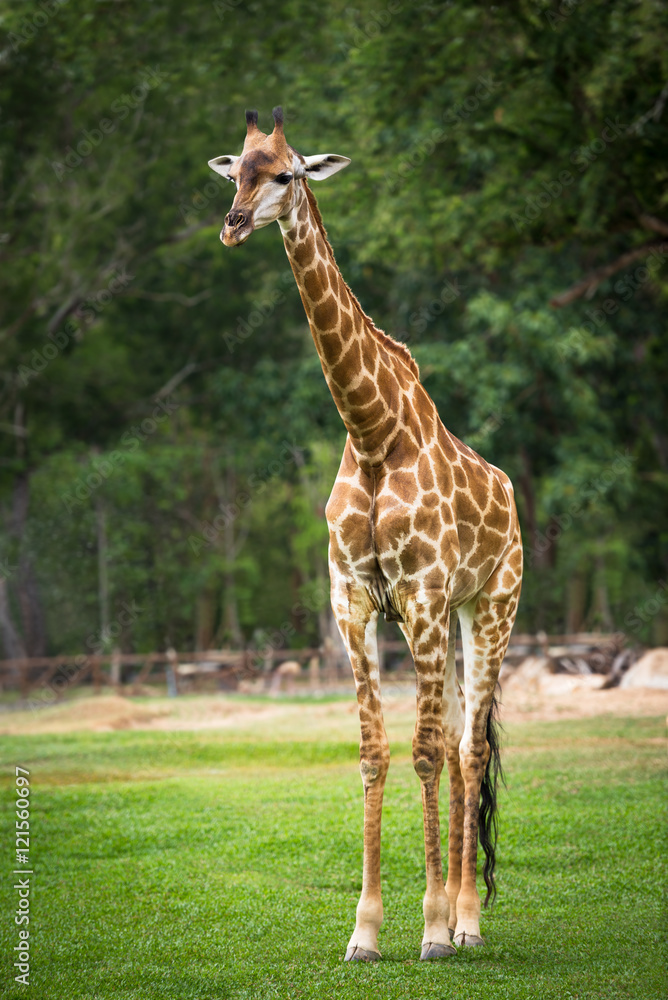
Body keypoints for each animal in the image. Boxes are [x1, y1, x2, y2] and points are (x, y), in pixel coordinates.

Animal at [209, 107, 523, 962]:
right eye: (235, 171)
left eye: (288, 173)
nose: (233, 225)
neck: (373, 432)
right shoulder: (353, 601)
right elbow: (374, 754)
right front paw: (366, 931)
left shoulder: (417, 596)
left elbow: (421, 752)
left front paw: (432, 931)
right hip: (453, 614)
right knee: (461, 749)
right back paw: (458, 914)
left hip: (492, 604)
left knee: (469, 748)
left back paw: (468, 923)